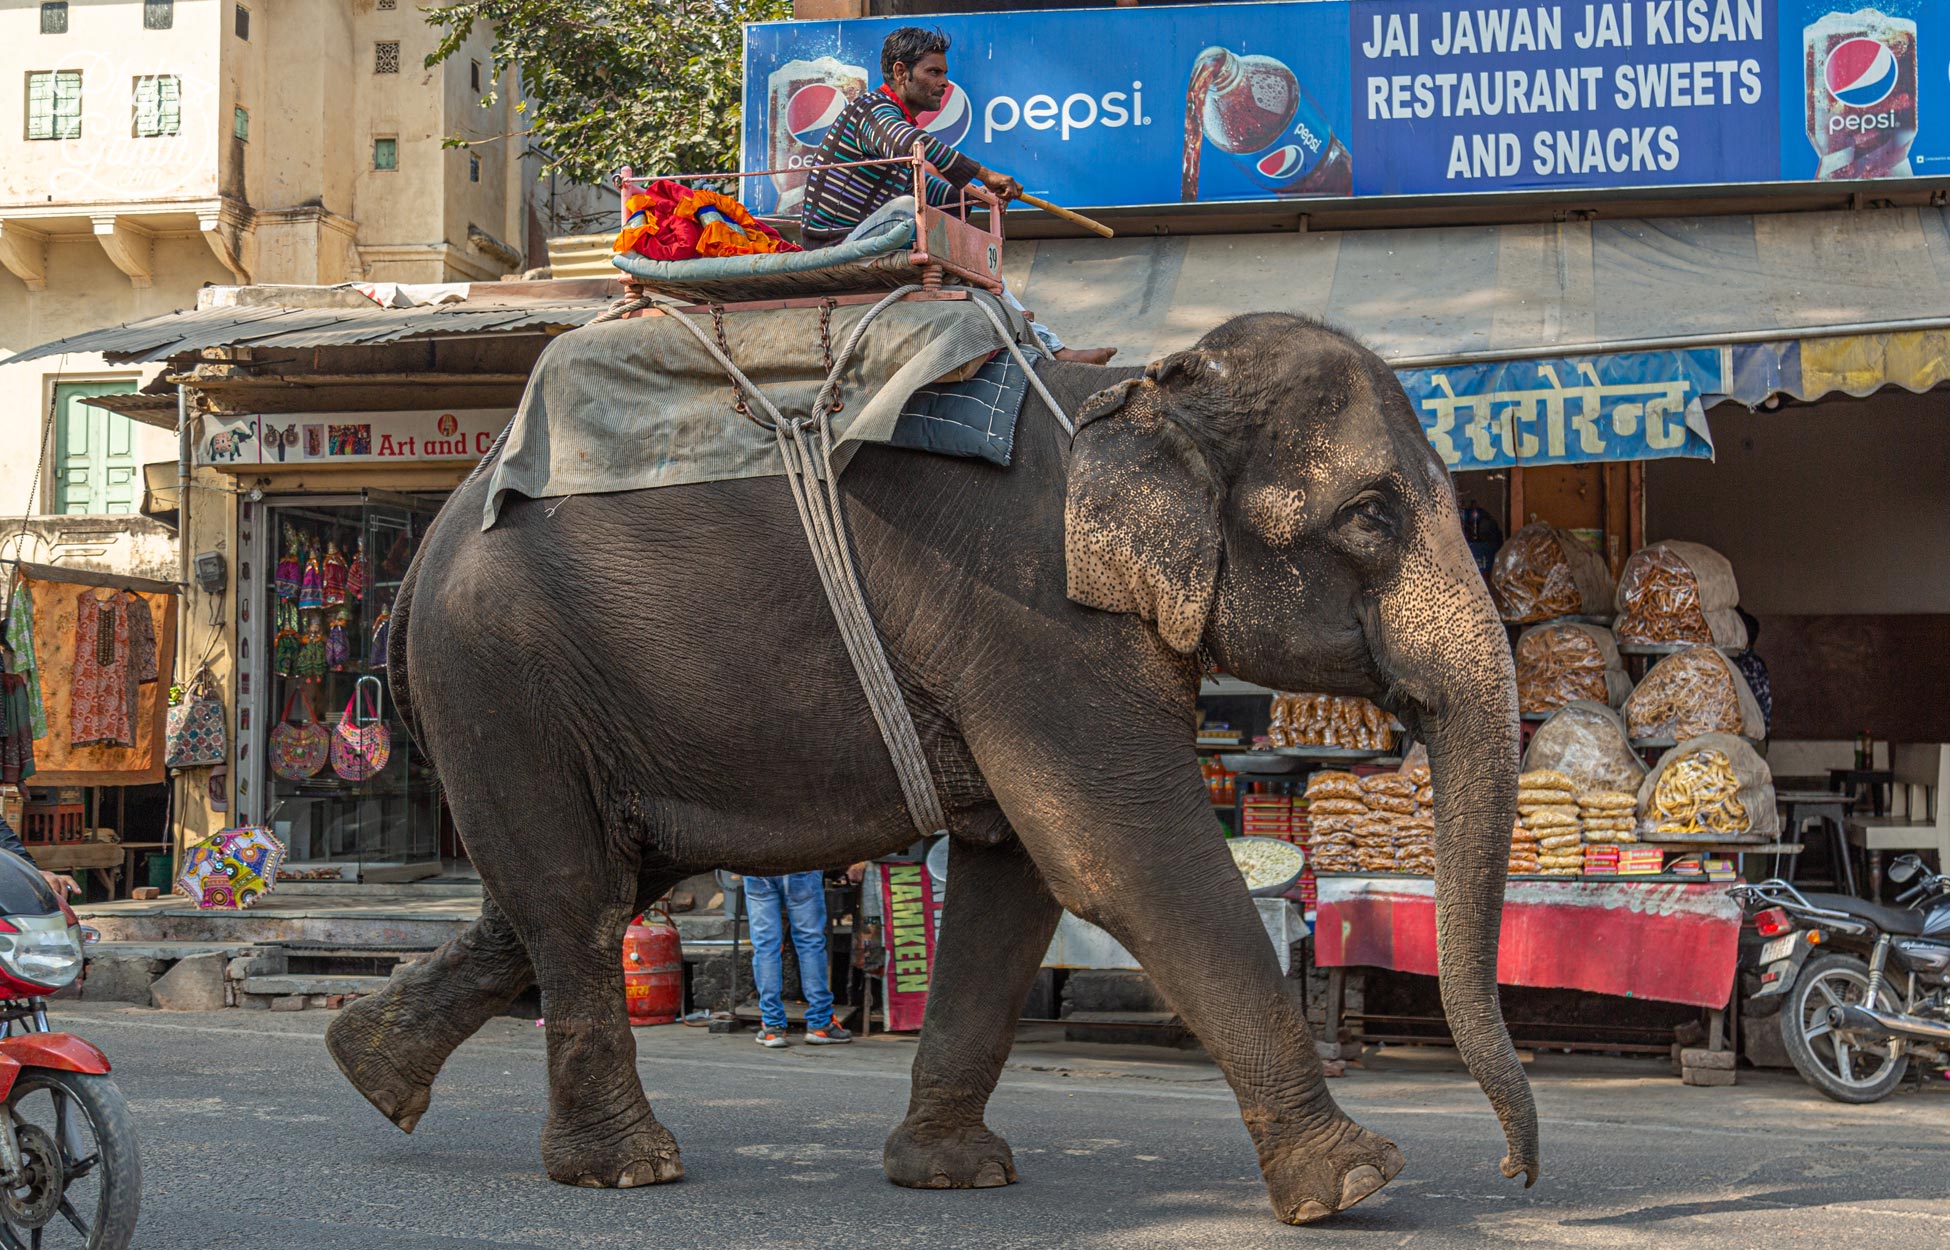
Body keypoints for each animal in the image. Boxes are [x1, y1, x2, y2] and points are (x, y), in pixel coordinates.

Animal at [323, 310, 1536, 1216]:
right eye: (1372, 516)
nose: (1517, 1171)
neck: (1132, 394)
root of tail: (421, 553)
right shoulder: (1036, 621)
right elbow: (1124, 860)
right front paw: (1357, 1181)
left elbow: (1016, 879)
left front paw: (953, 1175)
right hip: (499, 677)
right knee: (574, 896)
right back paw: (623, 1169)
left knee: (588, 886)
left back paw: (364, 1065)